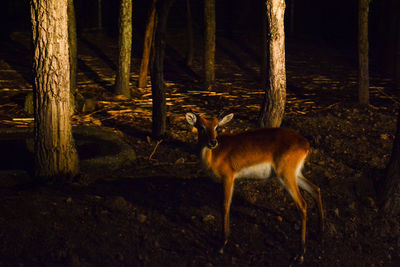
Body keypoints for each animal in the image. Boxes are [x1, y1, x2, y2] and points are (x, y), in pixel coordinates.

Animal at [186, 110, 324, 258]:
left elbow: (225, 206)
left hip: (286, 176)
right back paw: (319, 233)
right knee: (316, 189)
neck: (214, 156)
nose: (213, 142)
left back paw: (301, 253)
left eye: (217, 127)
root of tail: (305, 143)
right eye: (201, 127)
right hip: (295, 174)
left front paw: (222, 244)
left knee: (302, 204)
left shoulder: (228, 177)